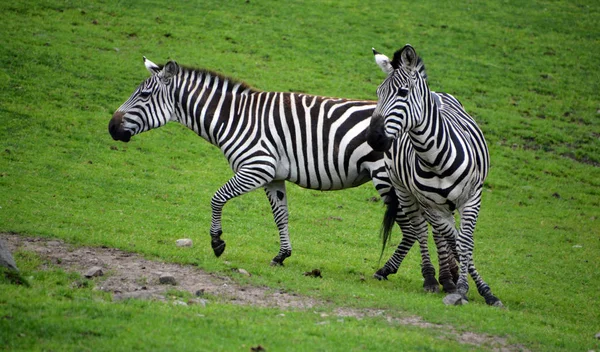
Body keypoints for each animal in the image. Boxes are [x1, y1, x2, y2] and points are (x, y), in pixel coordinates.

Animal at [109, 55, 454, 288]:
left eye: (144, 95)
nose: (111, 127)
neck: (233, 118)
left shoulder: (255, 168)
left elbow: (217, 197)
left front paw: (217, 242)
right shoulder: (273, 176)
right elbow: (281, 215)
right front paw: (282, 255)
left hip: (386, 178)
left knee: (412, 227)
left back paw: (391, 272)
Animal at [366, 44, 502, 308]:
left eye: (403, 92)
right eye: (378, 92)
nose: (373, 138)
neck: (436, 159)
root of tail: (438, 93)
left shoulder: (472, 198)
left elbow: (464, 242)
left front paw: (478, 290)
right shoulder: (429, 204)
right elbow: (453, 240)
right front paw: (459, 287)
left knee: (441, 235)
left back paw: (448, 278)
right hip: (406, 192)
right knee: (422, 230)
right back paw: (432, 278)